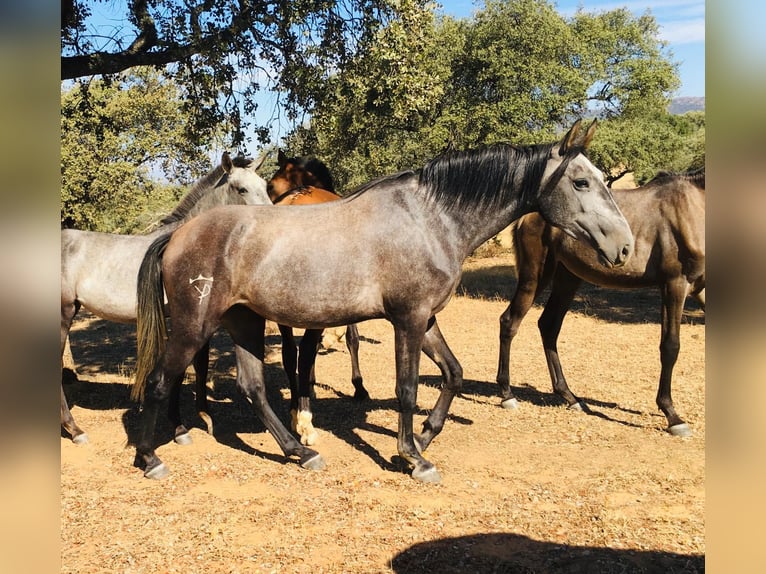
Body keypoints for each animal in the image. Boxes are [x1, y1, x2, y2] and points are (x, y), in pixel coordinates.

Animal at [134, 122, 636, 486]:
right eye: (581, 182)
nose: (626, 246)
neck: (431, 218)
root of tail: (177, 235)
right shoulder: (408, 320)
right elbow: (407, 388)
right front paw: (413, 456)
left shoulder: (426, 319)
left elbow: (453, 374)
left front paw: (427, 437)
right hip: (195, 325)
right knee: (160, 380)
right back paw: (150, 457)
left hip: (243, 322)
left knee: (252, 386)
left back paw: (301, 450)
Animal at [498, 169, 708, 438]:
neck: (694, 208)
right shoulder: (675, 285)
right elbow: (670, 347)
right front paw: (672, 416)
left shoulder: (701, 289)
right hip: (535, 276)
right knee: (510, 322)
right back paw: (507, 394)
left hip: (568, 277)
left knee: (549, 326)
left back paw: (570, 397)